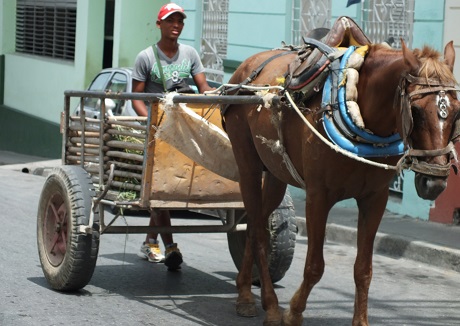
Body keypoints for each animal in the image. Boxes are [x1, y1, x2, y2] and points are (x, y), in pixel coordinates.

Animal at [222, 37, 456, 324]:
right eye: (417, 111)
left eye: (456, 112)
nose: (434, 183)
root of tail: (244, 70)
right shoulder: (318, 196)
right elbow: (314, 266)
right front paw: (294, 312)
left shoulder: (375, 199)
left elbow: (364, 269)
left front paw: (361, 320)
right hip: (248, 167)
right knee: (256, 230)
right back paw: (267, 304)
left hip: (277, 174)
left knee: (257, 225)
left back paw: (247, 292)